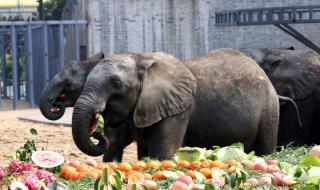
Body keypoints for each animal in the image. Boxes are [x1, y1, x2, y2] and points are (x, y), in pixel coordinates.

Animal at [72, 48, 280, 160]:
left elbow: (162, 154)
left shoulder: (177, 111)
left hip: (269, 110)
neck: (142, 58)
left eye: (116, 84)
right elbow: (123, 147)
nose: (98, 133)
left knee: (264, 150)